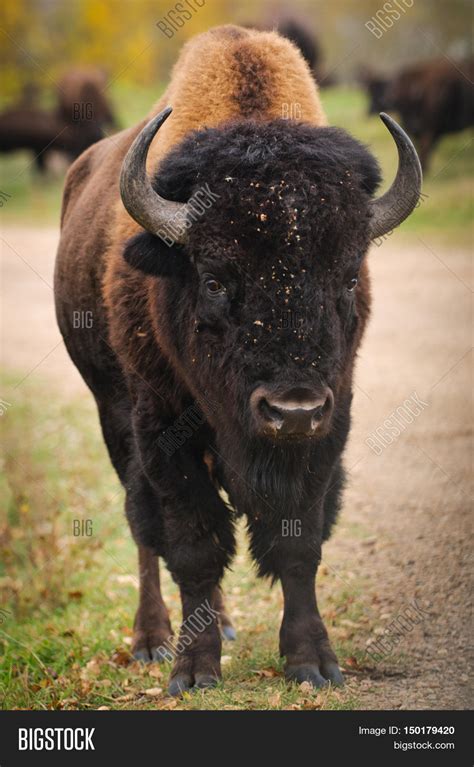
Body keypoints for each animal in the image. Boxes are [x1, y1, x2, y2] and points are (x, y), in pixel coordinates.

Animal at [55, 25, 422, 696]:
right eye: (215, 279)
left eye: (347, 276)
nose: (292, 408)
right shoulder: (160, 430)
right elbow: (193, 544)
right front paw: (193, 672)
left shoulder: (331, 426)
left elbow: (297, 543)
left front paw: (312, 663)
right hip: (112, 417)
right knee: (144, 531)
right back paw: (152, 641)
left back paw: (221, 625)